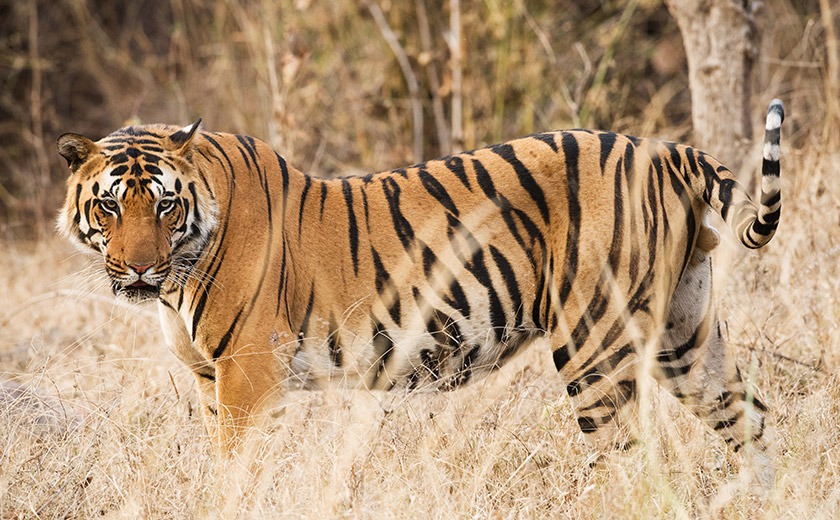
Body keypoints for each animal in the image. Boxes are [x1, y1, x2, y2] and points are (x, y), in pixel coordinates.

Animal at [55, 99, 784, 482]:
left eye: (165, 206)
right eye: (111, 207)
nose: (139, 271)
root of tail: (665, 149)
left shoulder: (247, 374)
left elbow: (236, 474)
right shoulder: (212, 379)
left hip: (594, 345)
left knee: (632, 465)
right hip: (686, 336)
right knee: (751, 421)